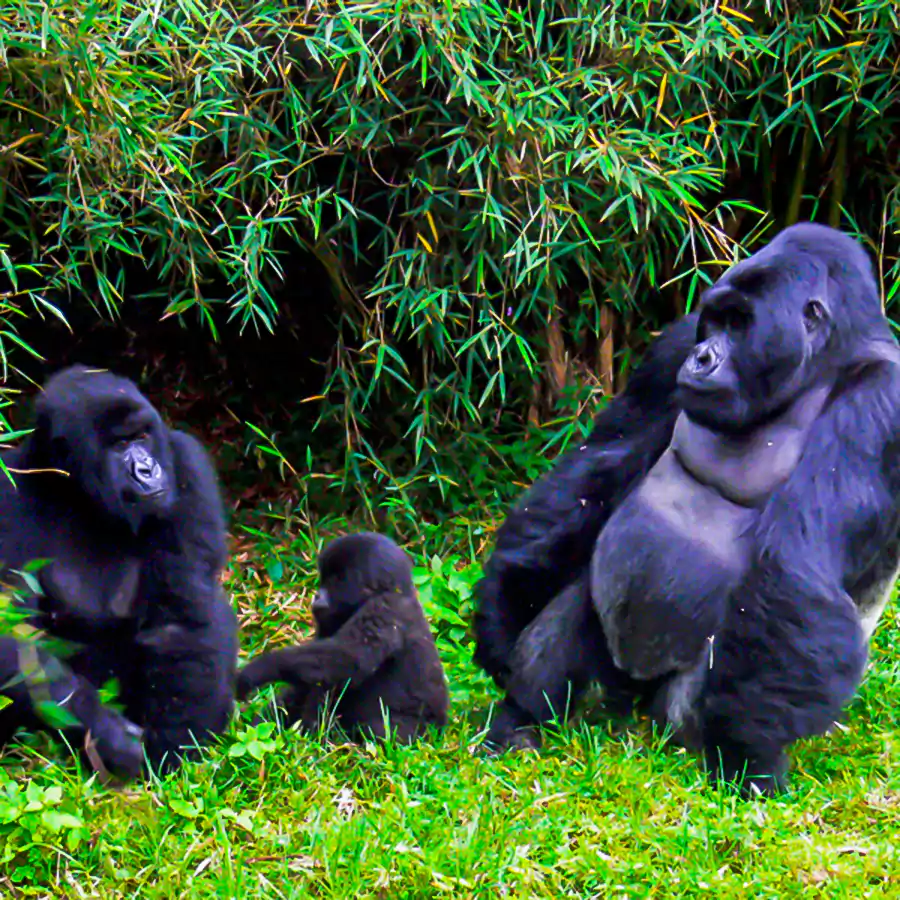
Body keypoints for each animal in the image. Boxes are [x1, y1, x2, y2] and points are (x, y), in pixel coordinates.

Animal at [0, 362, 239, 776]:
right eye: (118, 445)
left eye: (142, 436)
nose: (147, 469)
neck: (76, 495)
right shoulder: (6, 493)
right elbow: (12, 630)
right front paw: (106, 733)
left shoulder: (185, 463)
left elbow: (179, 619)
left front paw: (171, 747)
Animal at [237, 532, 448, 740]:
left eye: (335, 581)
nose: (317, 596)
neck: (393, 590)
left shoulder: (383, 609)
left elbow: (347, 659)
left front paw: (256, 670)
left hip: (422, 732)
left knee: (377, 729)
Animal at [472, 223, 900, 796]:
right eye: (714, 321)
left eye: (740, 323)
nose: (702, 359)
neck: (824, 363)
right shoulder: (671, 346)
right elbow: (597, 470)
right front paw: (503, 609)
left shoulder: (880, 404)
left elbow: (794, 567)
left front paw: (748, 755)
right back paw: (520, 720)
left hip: (675, 714)